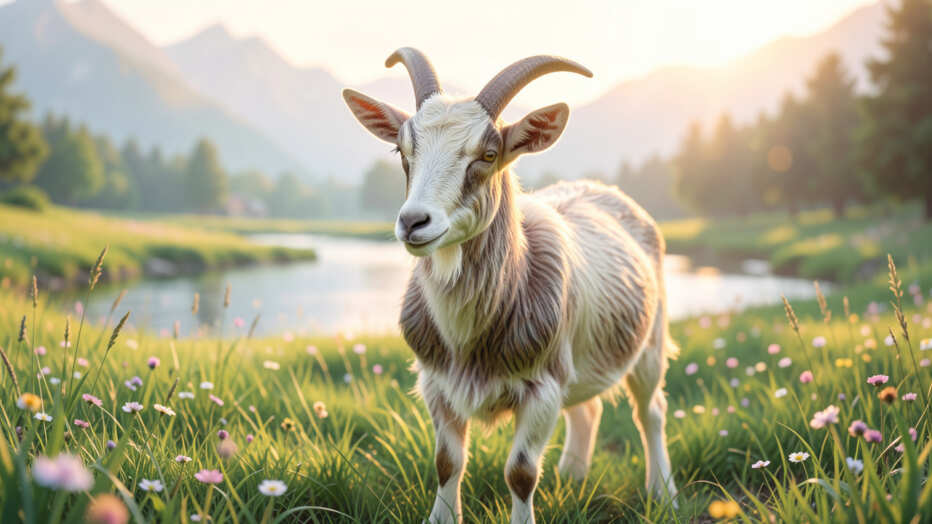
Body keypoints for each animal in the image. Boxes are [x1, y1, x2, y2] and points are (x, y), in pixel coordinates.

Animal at [343, 48, 678, 524]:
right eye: (402, 149)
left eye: (487, 153)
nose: (413, 222)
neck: (468, 339)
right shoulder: (436, 383)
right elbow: (447, 462)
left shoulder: (543, 387)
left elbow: (520, 473)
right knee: (589, 408)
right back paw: (573, 477)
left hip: (649, 342)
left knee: (651, 411)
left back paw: (662, 493)